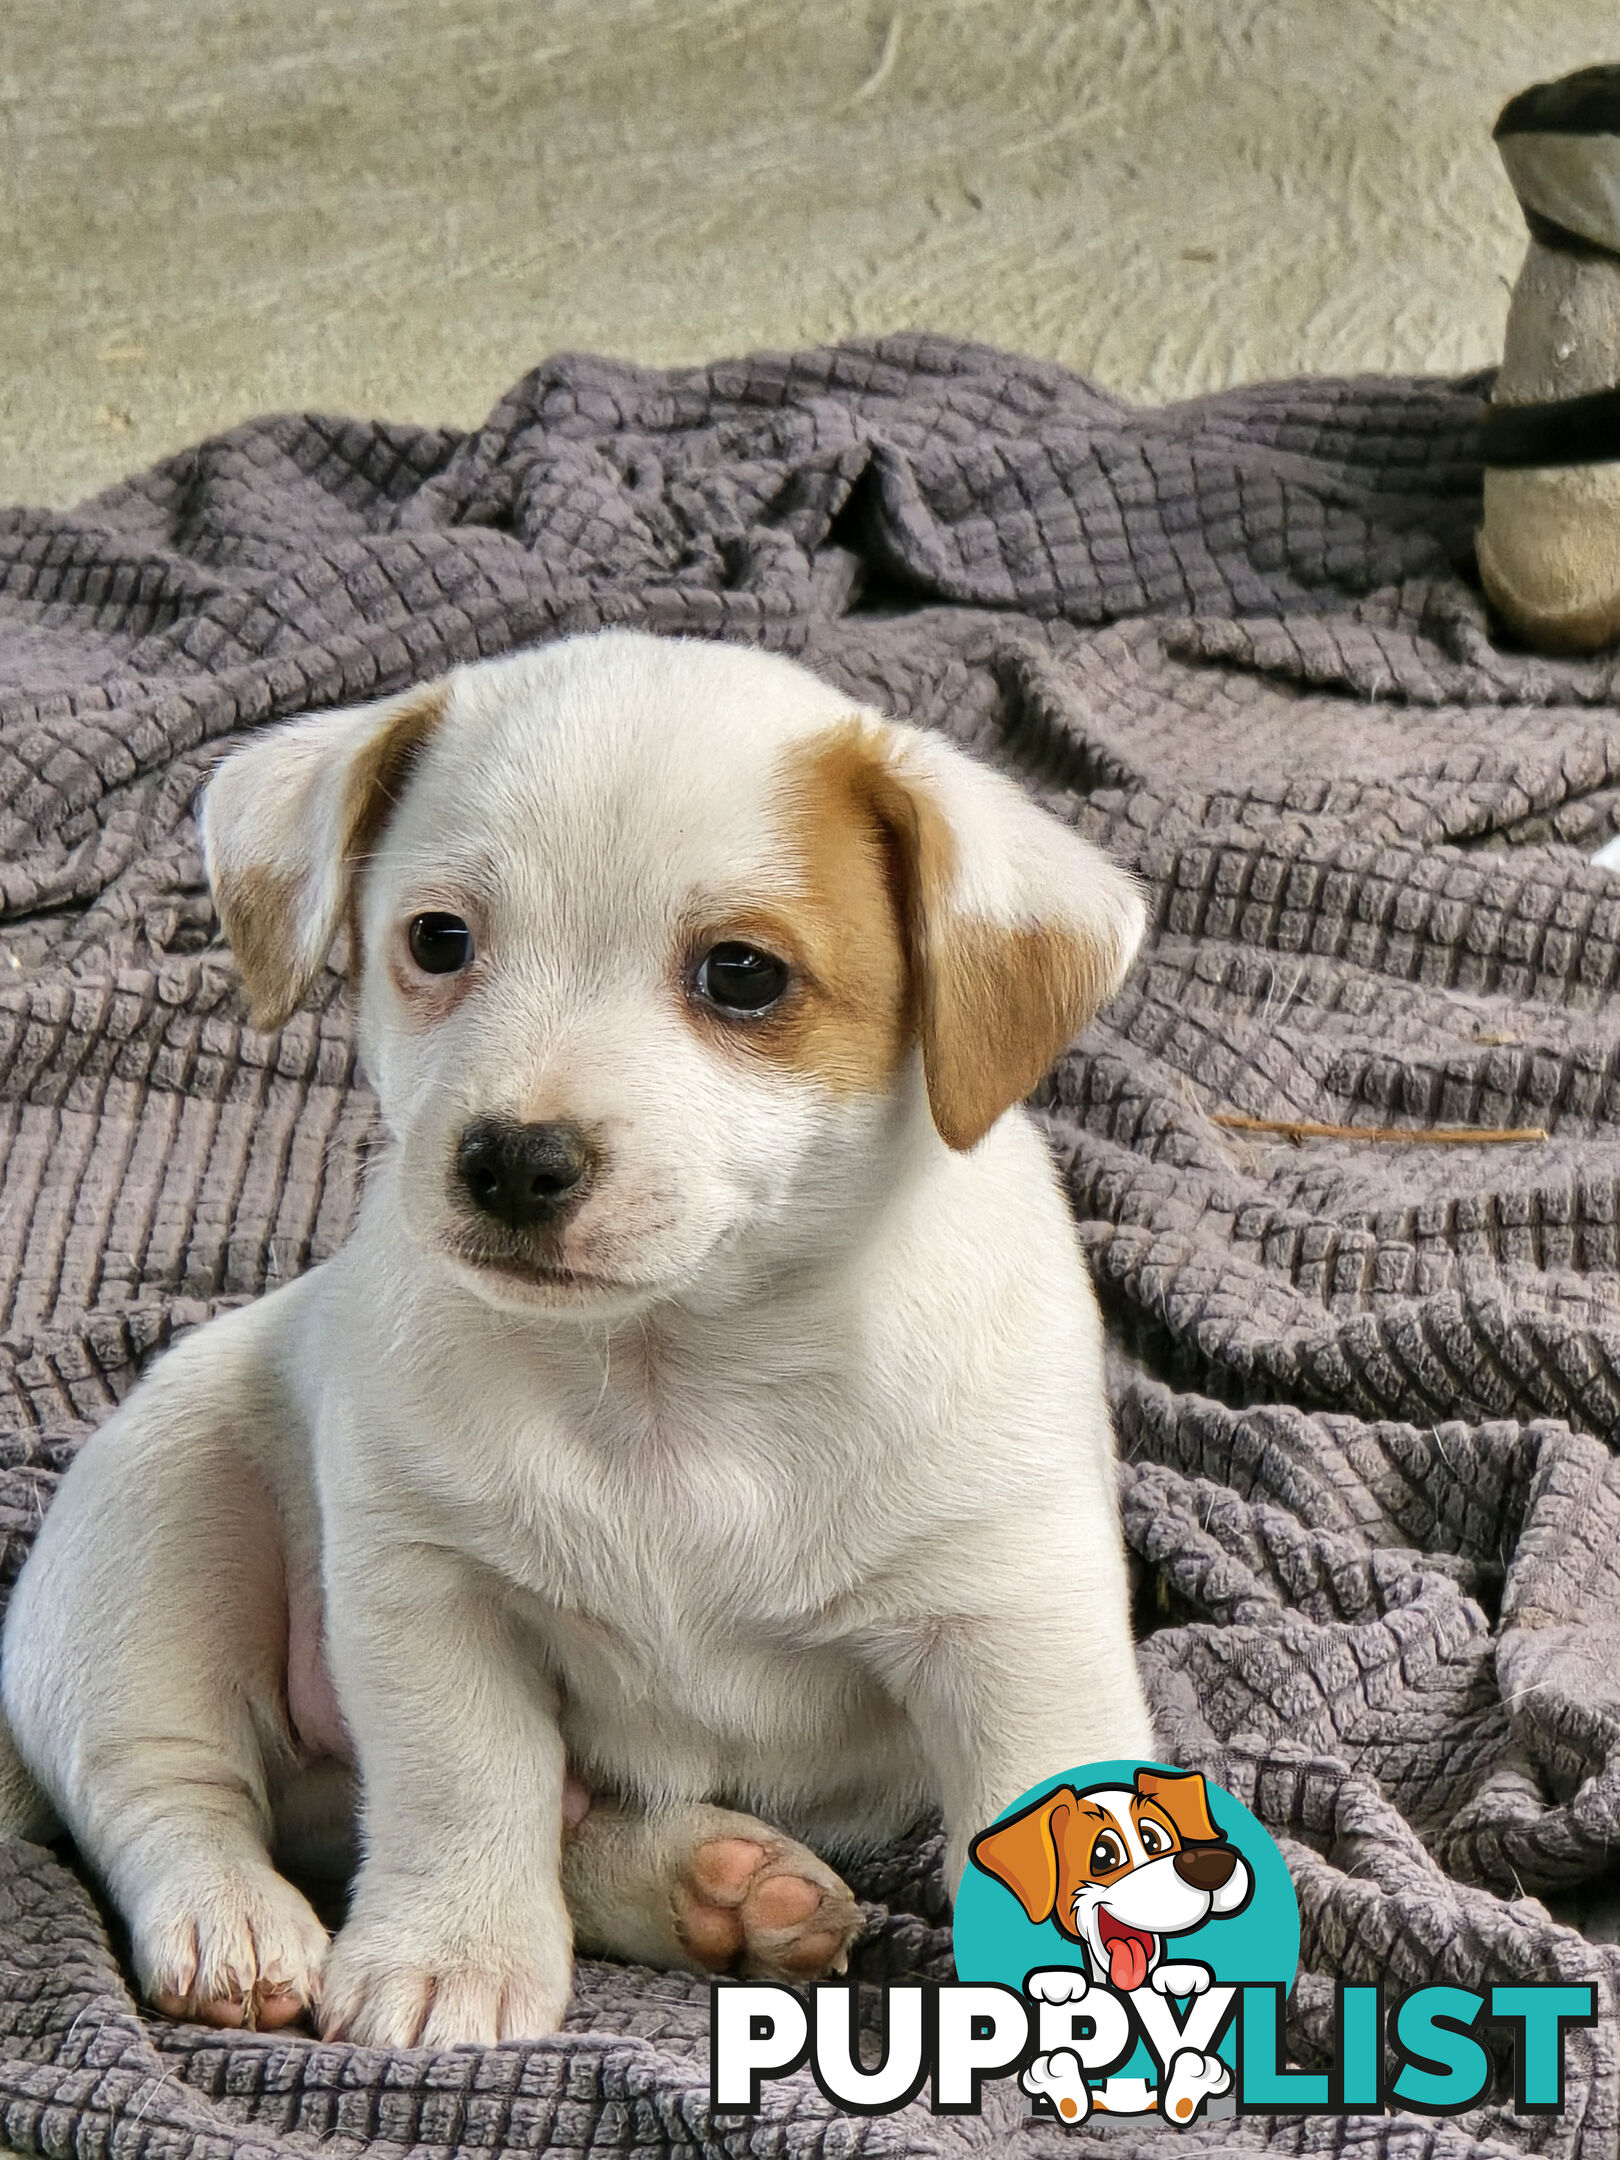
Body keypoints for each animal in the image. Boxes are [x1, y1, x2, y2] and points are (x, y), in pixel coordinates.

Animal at [6, 630, 1157, 2047]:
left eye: (742, 974)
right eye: (438, 939)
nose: (513, 1160)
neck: (675, 1369)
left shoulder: (1010, 1617)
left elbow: (1038, 1777)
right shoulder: (432, 1592)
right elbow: (463, 1785)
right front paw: (448, 1955)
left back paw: (713, 1886)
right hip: (157, 1532)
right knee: (162, 1785)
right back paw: (235, 1920)